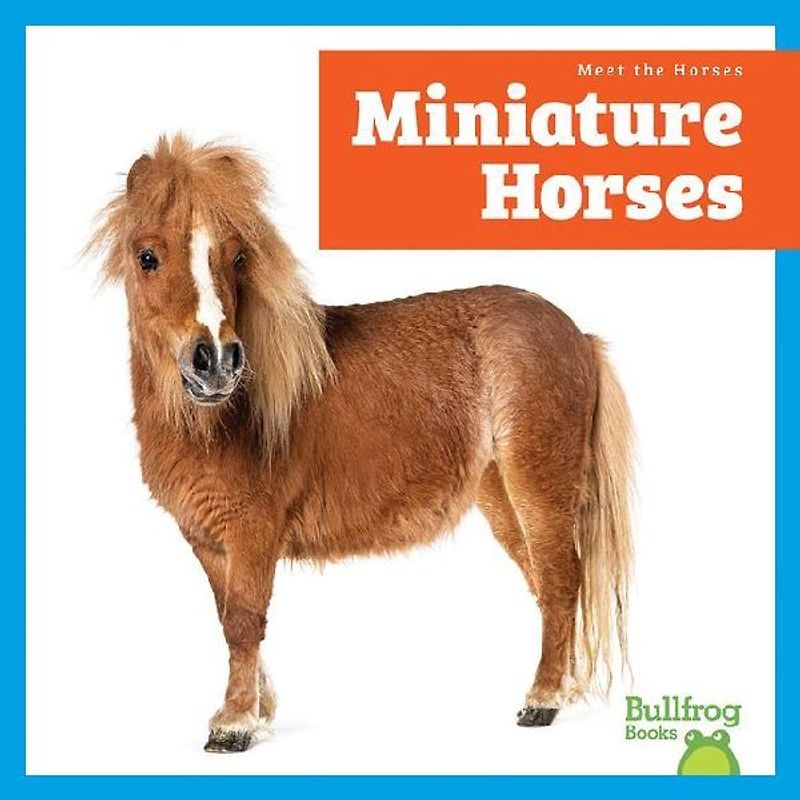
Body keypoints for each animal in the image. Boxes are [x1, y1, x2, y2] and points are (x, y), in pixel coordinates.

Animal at [87, 134, 633, 754]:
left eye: (237, 257)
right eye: (146, 257)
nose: (217, 361)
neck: (222, 419)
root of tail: (578, 336)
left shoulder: (252, 532)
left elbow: (245, 621)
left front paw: (234, 724)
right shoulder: (206, 539)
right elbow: (229, 618)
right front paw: (257, 710)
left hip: (539, 486)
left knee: (562, 582)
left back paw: (540, 702)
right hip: (501, 495)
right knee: (547, 585)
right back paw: (558, 690)